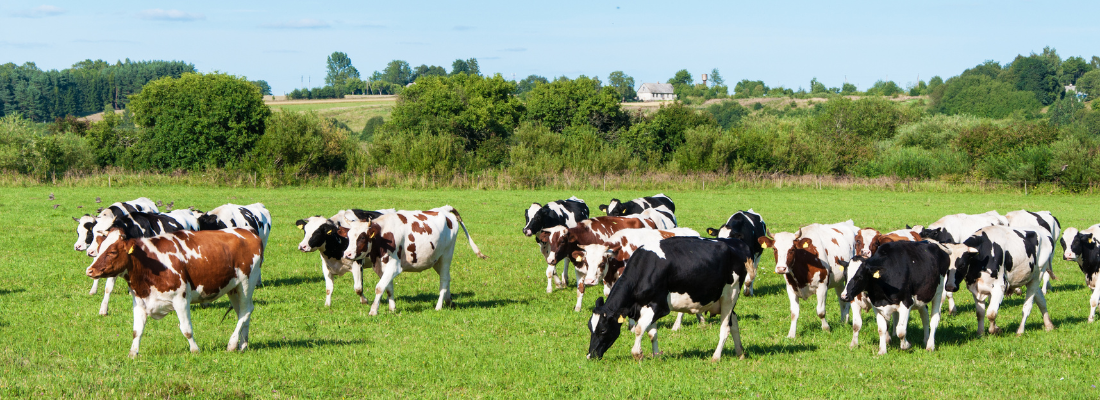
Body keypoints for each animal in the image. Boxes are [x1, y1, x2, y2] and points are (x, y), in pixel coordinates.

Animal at [85, 226, 261, 358]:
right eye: (99, 248)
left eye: (112, 252)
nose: (90, 270)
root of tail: (249, 232)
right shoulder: (140, 301)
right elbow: (137, 331)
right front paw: (133, 353)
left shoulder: (181, 299)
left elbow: (186, 329)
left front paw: (195, 350)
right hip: (233, 288)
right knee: (242, 314)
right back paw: (243, 345)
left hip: (247, 283)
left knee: (246, 310)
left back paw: (232, 344)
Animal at [338, 206, 486, 316]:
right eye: (349, 236)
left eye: (362, 237)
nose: (347, 254)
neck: (383, 236)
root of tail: (444, 209)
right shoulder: (381, 267)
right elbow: (388, 288)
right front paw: (392, 309)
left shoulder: (394, 266)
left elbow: (379, 287)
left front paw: (374, 310)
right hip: (436, 260)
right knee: (447, 278)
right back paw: (449, 301)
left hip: (446, 256)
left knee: (444, 280)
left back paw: (438, 306)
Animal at [585, 237, 756, 362]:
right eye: (590, 328)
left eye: (603, 330)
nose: (590, 355)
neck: (646, 267)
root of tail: (737, 243)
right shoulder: (646, 306)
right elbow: (652, 333)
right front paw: (656, 356)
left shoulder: (658, 306)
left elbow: (640, 329)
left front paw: (637, 354)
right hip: (721, 301)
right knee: (734, 323)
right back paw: (740, 353)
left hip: (730, 294)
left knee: (725, 327)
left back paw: (716, 357)